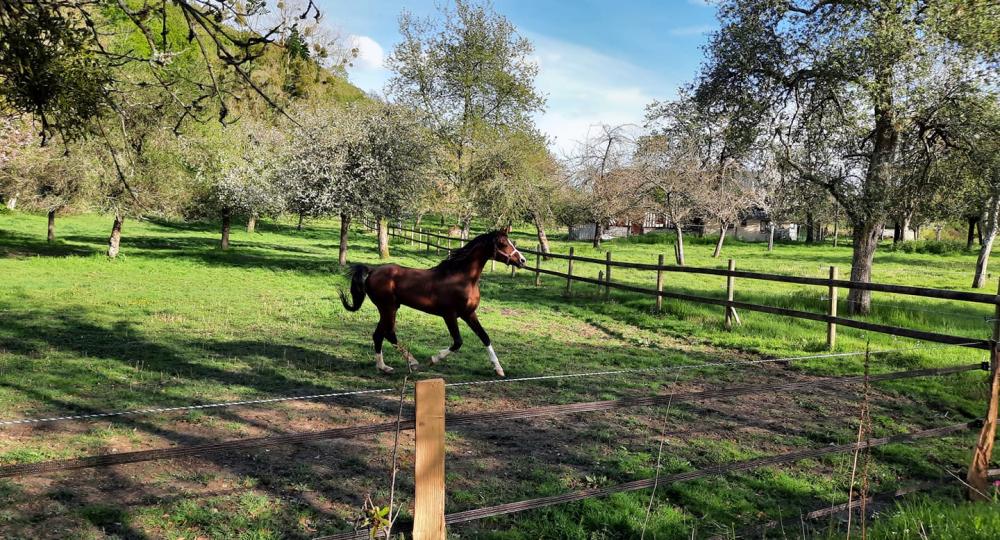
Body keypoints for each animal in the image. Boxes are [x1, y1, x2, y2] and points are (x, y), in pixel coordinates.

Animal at [340, 230, 528, 378]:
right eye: (503, 243)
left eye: (511, 242)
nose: (522, 260)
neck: (462, 278)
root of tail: (372, 271)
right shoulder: (449, 315)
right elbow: (458, 342)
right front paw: (432, 359)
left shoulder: (469, 314)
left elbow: (485, 337)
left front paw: (499, 370)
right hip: (388, 308)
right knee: (387, 333)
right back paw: (409, 363)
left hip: (389, 308)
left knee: (380, 334)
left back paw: (385, 367)